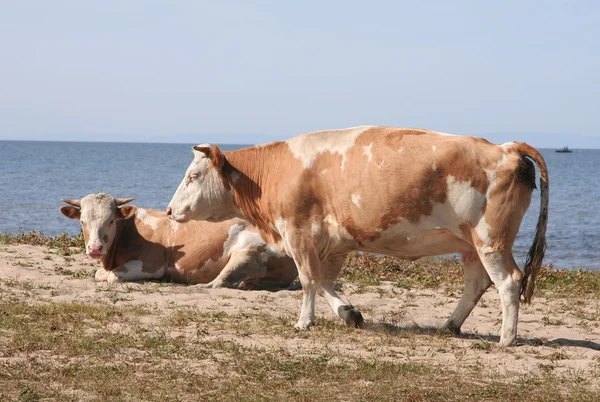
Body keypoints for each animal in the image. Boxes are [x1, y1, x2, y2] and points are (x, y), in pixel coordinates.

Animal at [58, 192, 298, 288]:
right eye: (82, 221)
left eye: (110, 221)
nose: (95, 248)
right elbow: (100, 274)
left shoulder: (152, 264)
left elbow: (111, 277)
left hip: (248, 254)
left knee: (219, 282)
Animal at [165, 126, 548, 346]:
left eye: (194, 176)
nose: (169, 211)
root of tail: (506, 147)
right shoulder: (334, 241)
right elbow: (323, 281)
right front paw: (349, 314)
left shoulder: (298, 230)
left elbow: (308, 279)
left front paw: (304, 322)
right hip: (470, 244)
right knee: (476, 283)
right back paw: (450, 325)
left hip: (490, 239)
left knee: (508, 281)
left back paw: (506, 338)